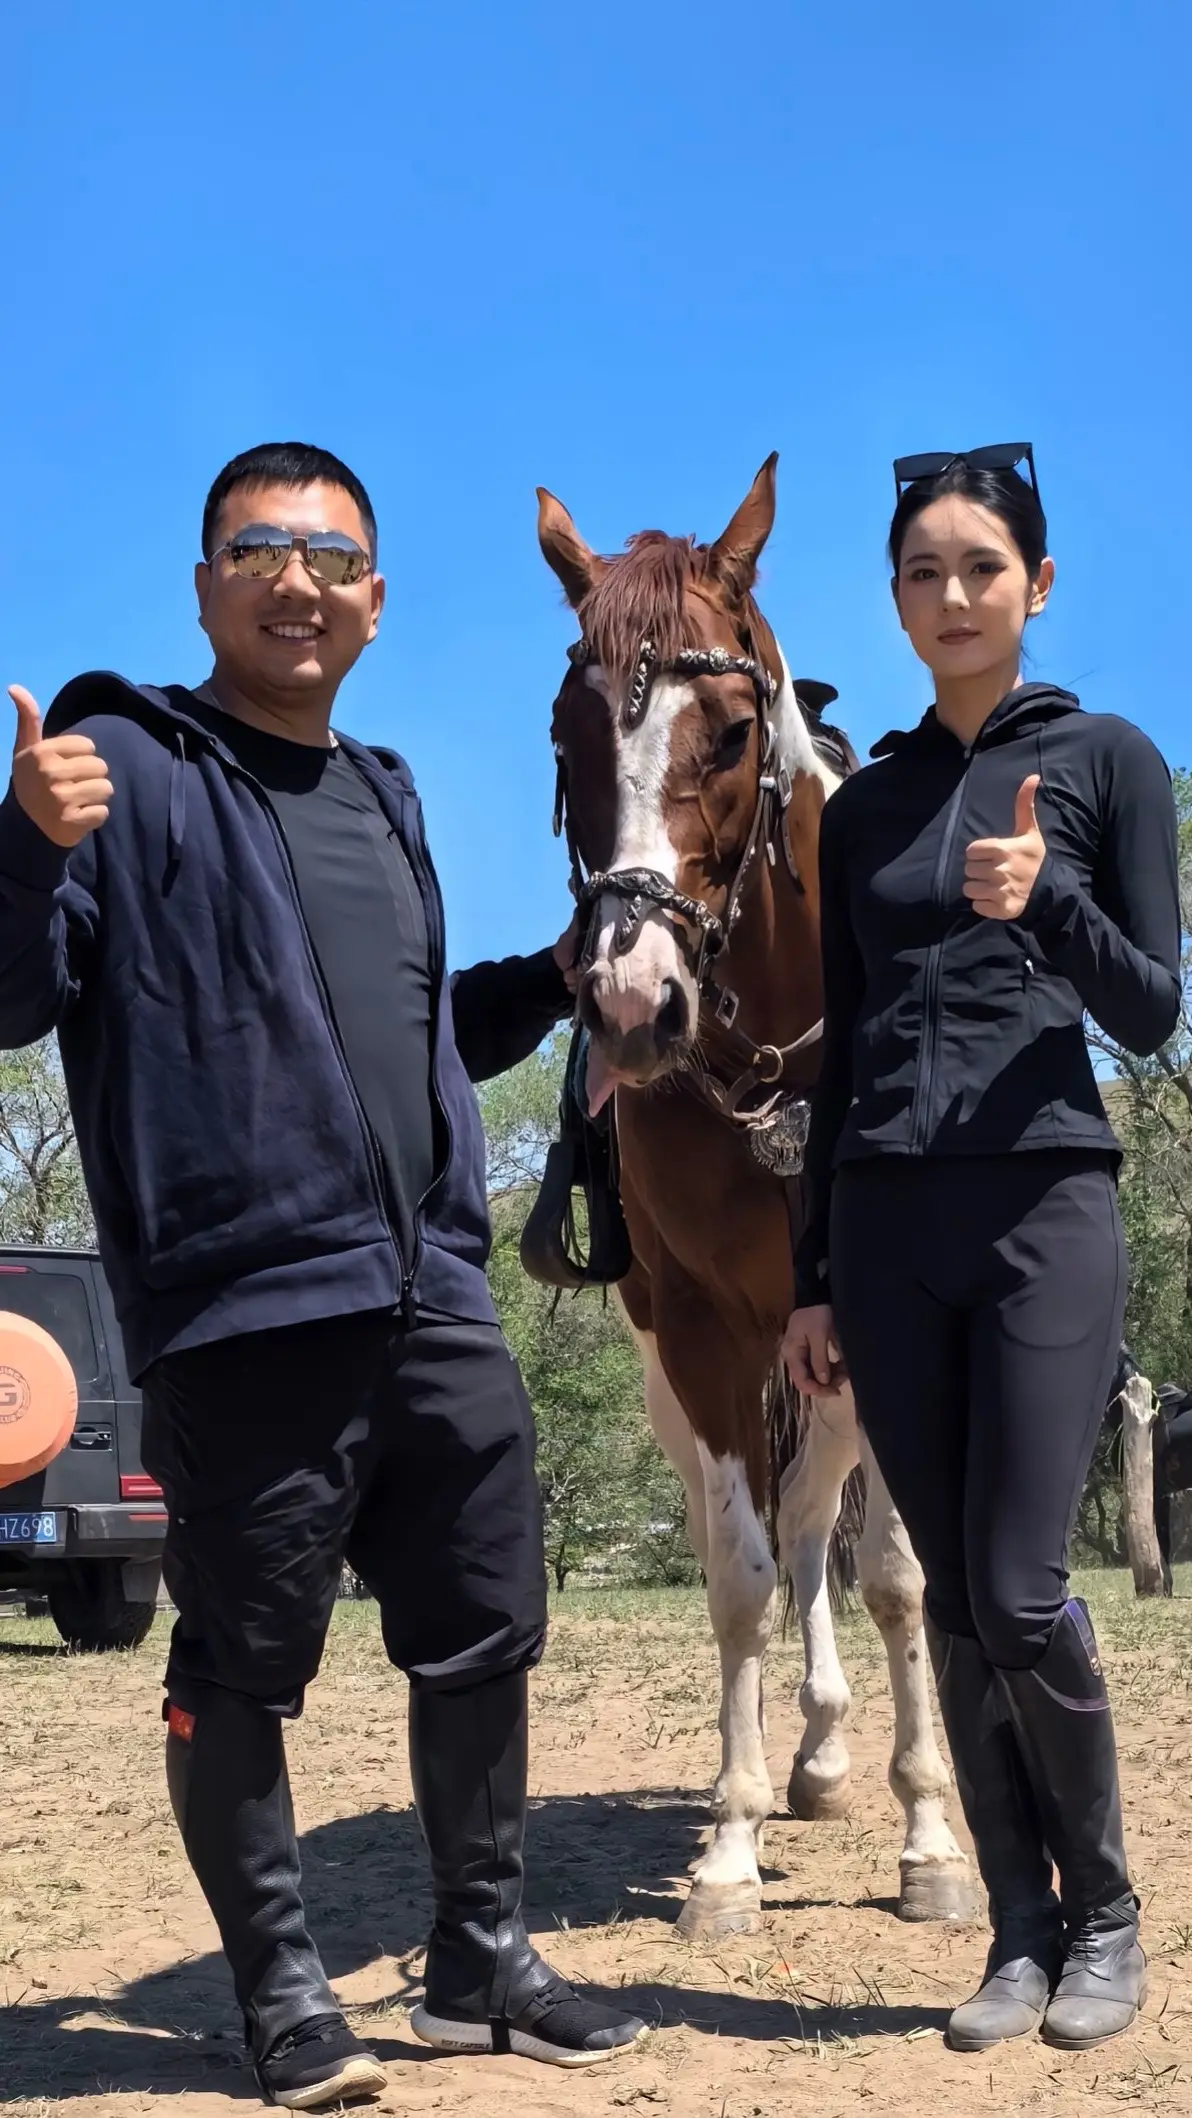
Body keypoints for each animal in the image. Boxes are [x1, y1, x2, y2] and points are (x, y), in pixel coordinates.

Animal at [542, 459, 978, 1940]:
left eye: (731, 731)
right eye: (565, 734)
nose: (632, 1003)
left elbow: (898, 1575)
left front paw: (932, 1839)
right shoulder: (700, 1336)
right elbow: (737, 1580)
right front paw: (727, 1851)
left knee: (817, 1526)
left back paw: (842, 1755)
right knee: (763, 1534)